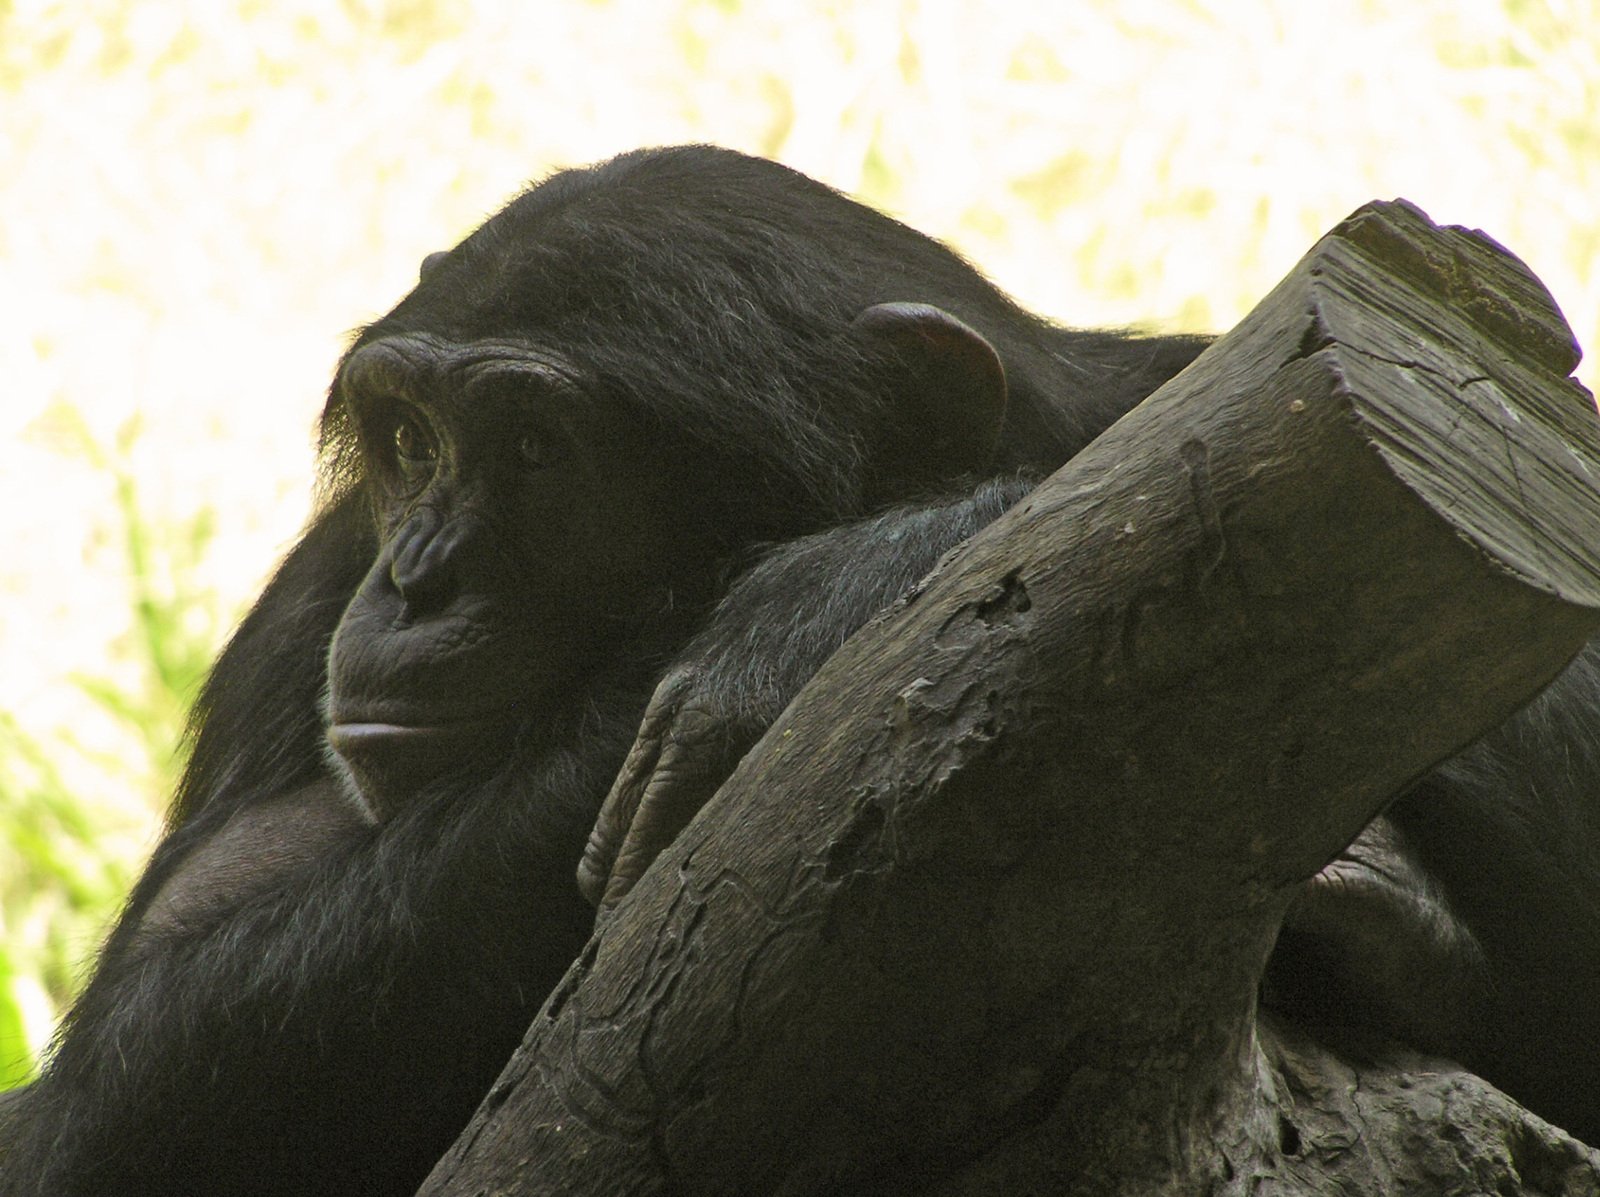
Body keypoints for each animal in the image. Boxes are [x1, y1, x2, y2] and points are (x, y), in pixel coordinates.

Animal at [0, 144, 1593, 1190]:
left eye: (538, 451)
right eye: (409, 443)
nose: (419, 578)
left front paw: (841, 588)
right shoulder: (313, 595)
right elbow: (110, 1083)